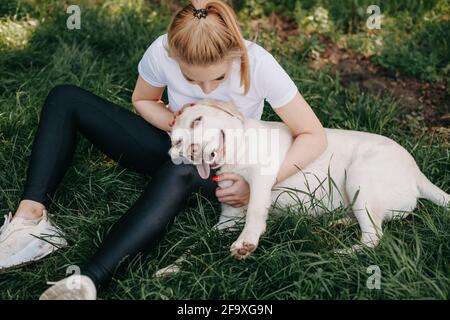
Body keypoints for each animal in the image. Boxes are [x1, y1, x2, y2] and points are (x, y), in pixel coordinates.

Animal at [167, 100, 448, 262]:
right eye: (177, 141)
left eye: (198, 120)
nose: (191, 150)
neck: (236, 157)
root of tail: (417, 172)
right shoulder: (228, 219)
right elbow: (193, 243)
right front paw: (168, 269)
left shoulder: (262, 177)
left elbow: (255, 209)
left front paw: (247, 241)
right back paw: (337, 223)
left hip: (359, 175)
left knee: (373, 237)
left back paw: (337, 253)